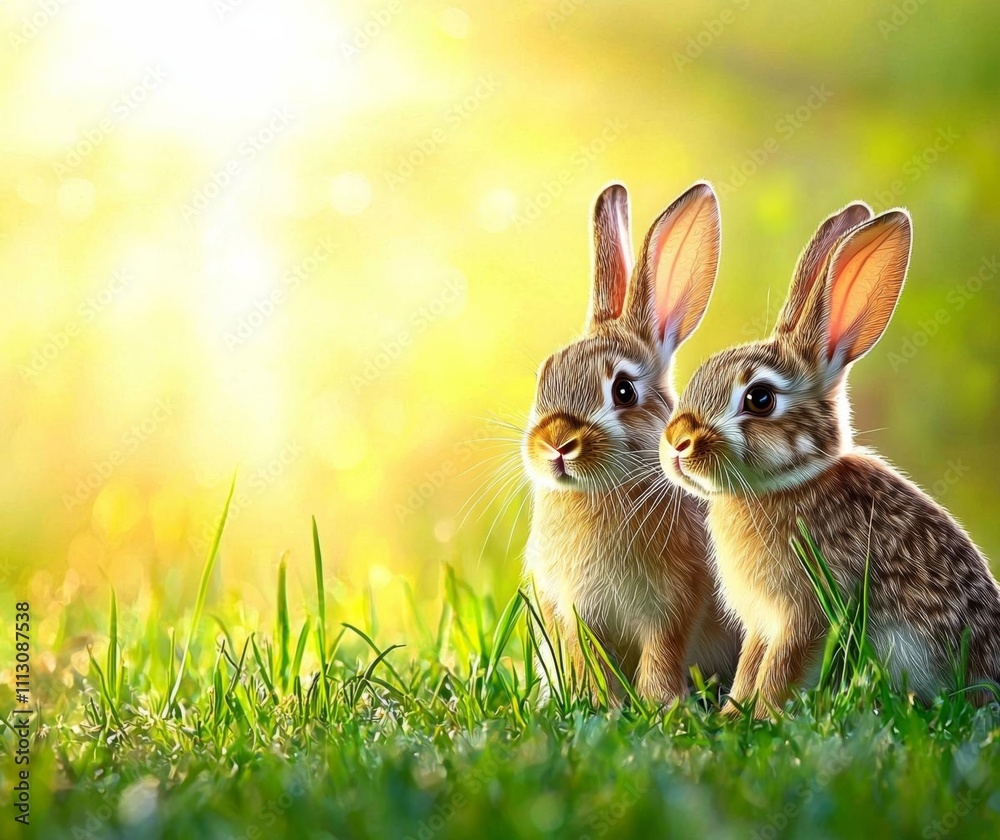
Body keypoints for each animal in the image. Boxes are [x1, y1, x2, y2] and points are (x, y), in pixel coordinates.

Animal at [522, 181, 740, 706]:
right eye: (543, 376)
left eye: (623, 391)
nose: (557, 444)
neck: (601, 491)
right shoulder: (570, 609)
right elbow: (586, 655)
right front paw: (597, 700)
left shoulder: (675, 602)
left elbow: (663, 650)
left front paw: (660, 703)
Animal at [659, 201, 1000, 717]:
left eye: (760, 399)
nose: (677, 442)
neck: (788, 483)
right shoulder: (762, 622)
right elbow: (751, 665)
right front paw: (732, 714)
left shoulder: (806, 613)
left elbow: (779, 669)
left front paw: (764, 716)